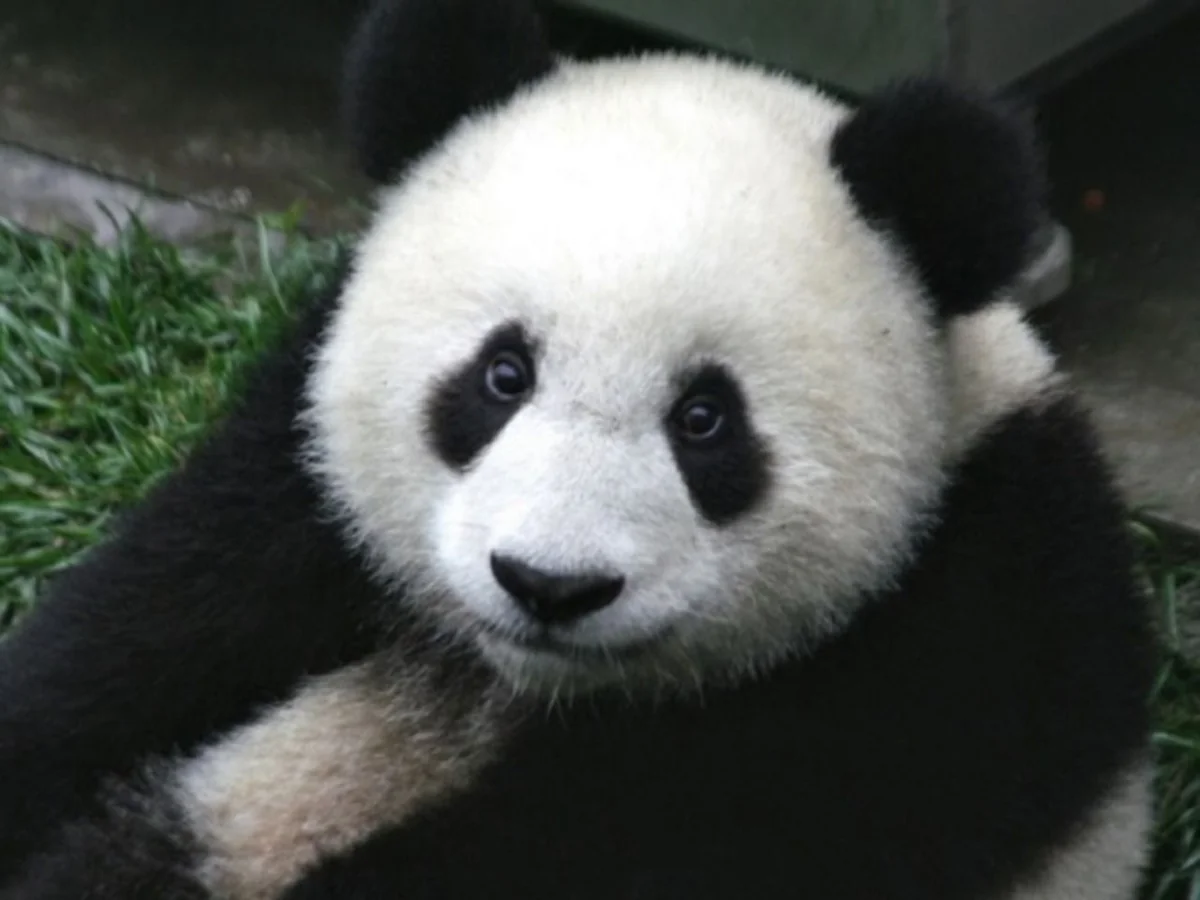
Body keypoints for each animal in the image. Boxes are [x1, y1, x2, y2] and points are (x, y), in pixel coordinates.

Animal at [0, 0, 1157, 897]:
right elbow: (140, 628)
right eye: (502, 376)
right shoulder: (295, 476)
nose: (548, 585)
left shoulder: (956, 647)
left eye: (705, 420)